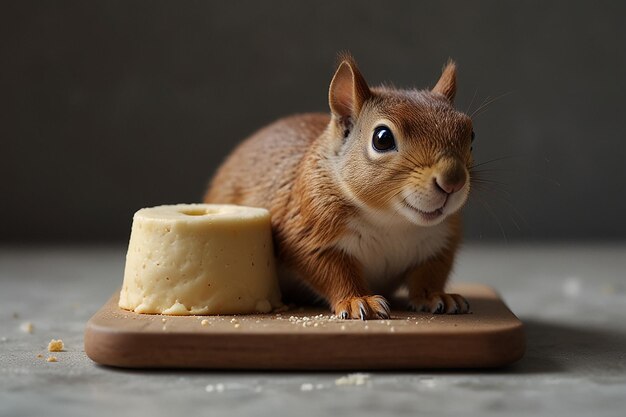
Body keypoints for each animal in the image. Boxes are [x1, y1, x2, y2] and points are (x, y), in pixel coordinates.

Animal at [205, 52, 472, 318]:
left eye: (471, 135)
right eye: (382, 139)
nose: (453, 181)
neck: (393, 222)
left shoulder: (440, 241)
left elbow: (430, 273)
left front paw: (436, 296)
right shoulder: (308, 232)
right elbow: (334, 272)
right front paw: (358, 300)